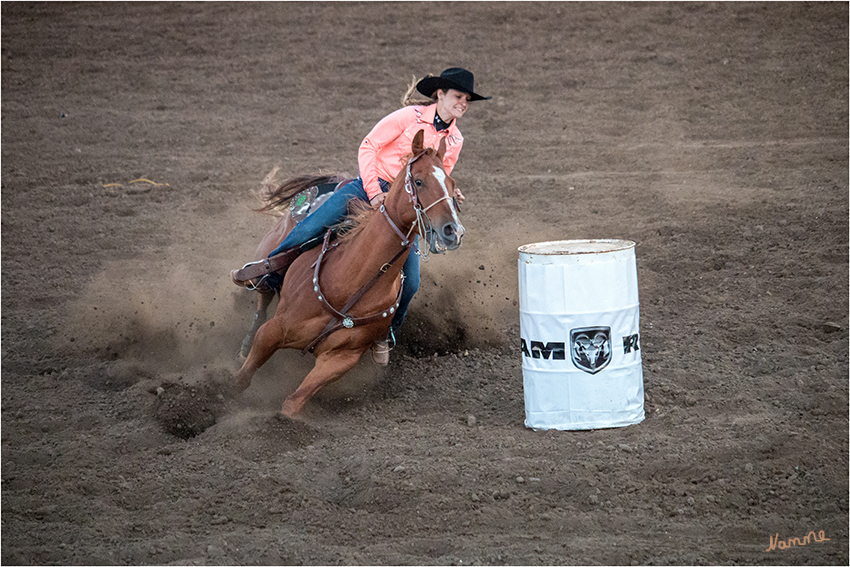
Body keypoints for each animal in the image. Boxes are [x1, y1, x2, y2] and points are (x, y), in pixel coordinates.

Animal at [232, 132, 464, 418]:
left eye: (452, 184)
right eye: (419, 181)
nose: (453, 231)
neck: (350, 280)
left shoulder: (341, 359)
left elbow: (292, 403)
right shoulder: (275, 329)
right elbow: (242, 378)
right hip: (270, 251)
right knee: (263, 295)